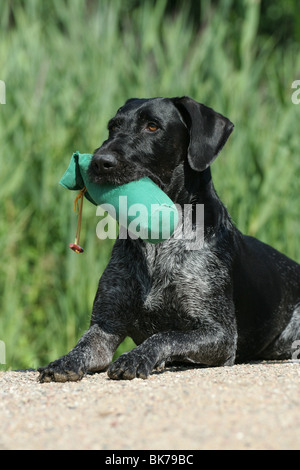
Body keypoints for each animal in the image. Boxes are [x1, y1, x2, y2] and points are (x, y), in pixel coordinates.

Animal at [37, 95, 300, 382]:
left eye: (152, 126)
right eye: (113, 127)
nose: (98, 161)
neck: (160, 242)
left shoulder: (220, 334)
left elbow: (165, 336)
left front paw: (136, 357)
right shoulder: (105, 324)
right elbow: (84, 344)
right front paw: (64, 361)